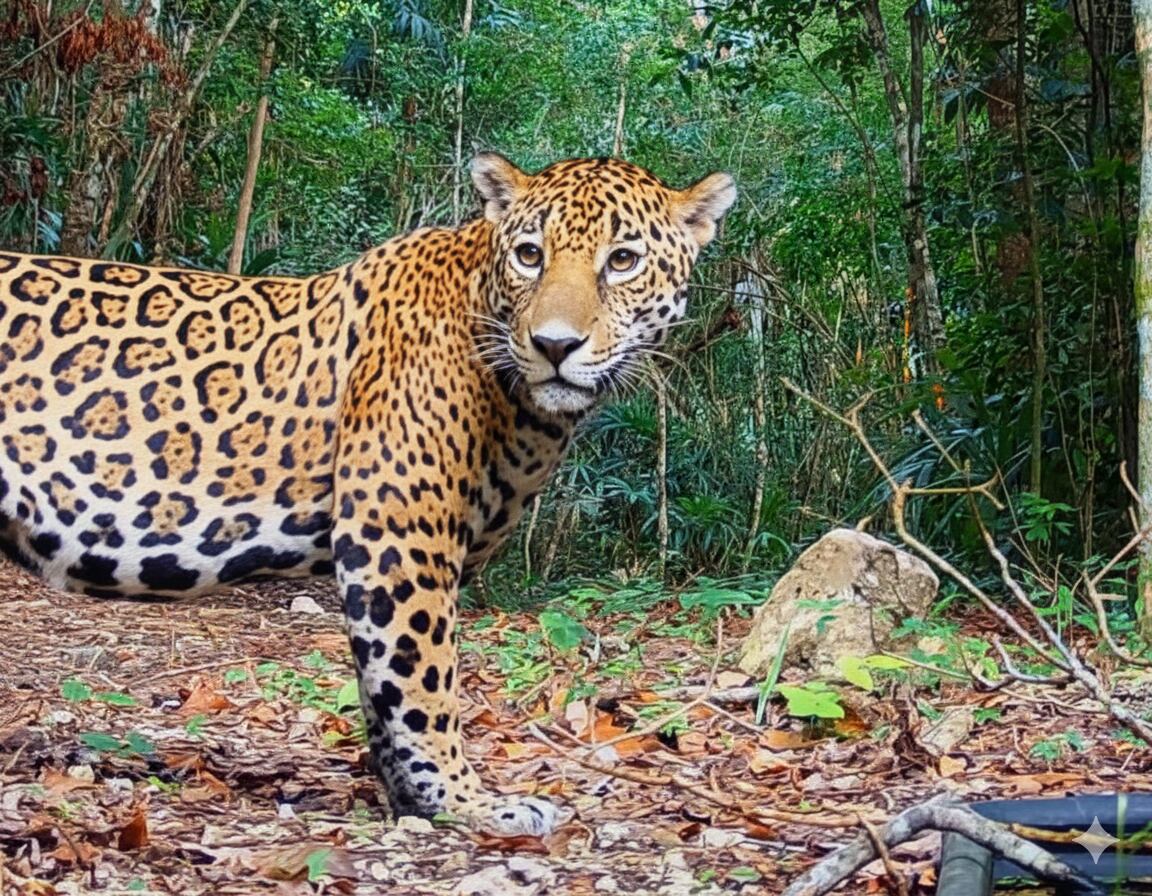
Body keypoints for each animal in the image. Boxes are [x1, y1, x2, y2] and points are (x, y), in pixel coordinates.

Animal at [0, 154, 735, 835]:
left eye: (623, 260)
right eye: (530, 255)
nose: (555, 345)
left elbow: (381, 684)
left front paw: (412, 800)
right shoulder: (400, 534)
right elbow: (424, 682)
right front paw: (469, 803)